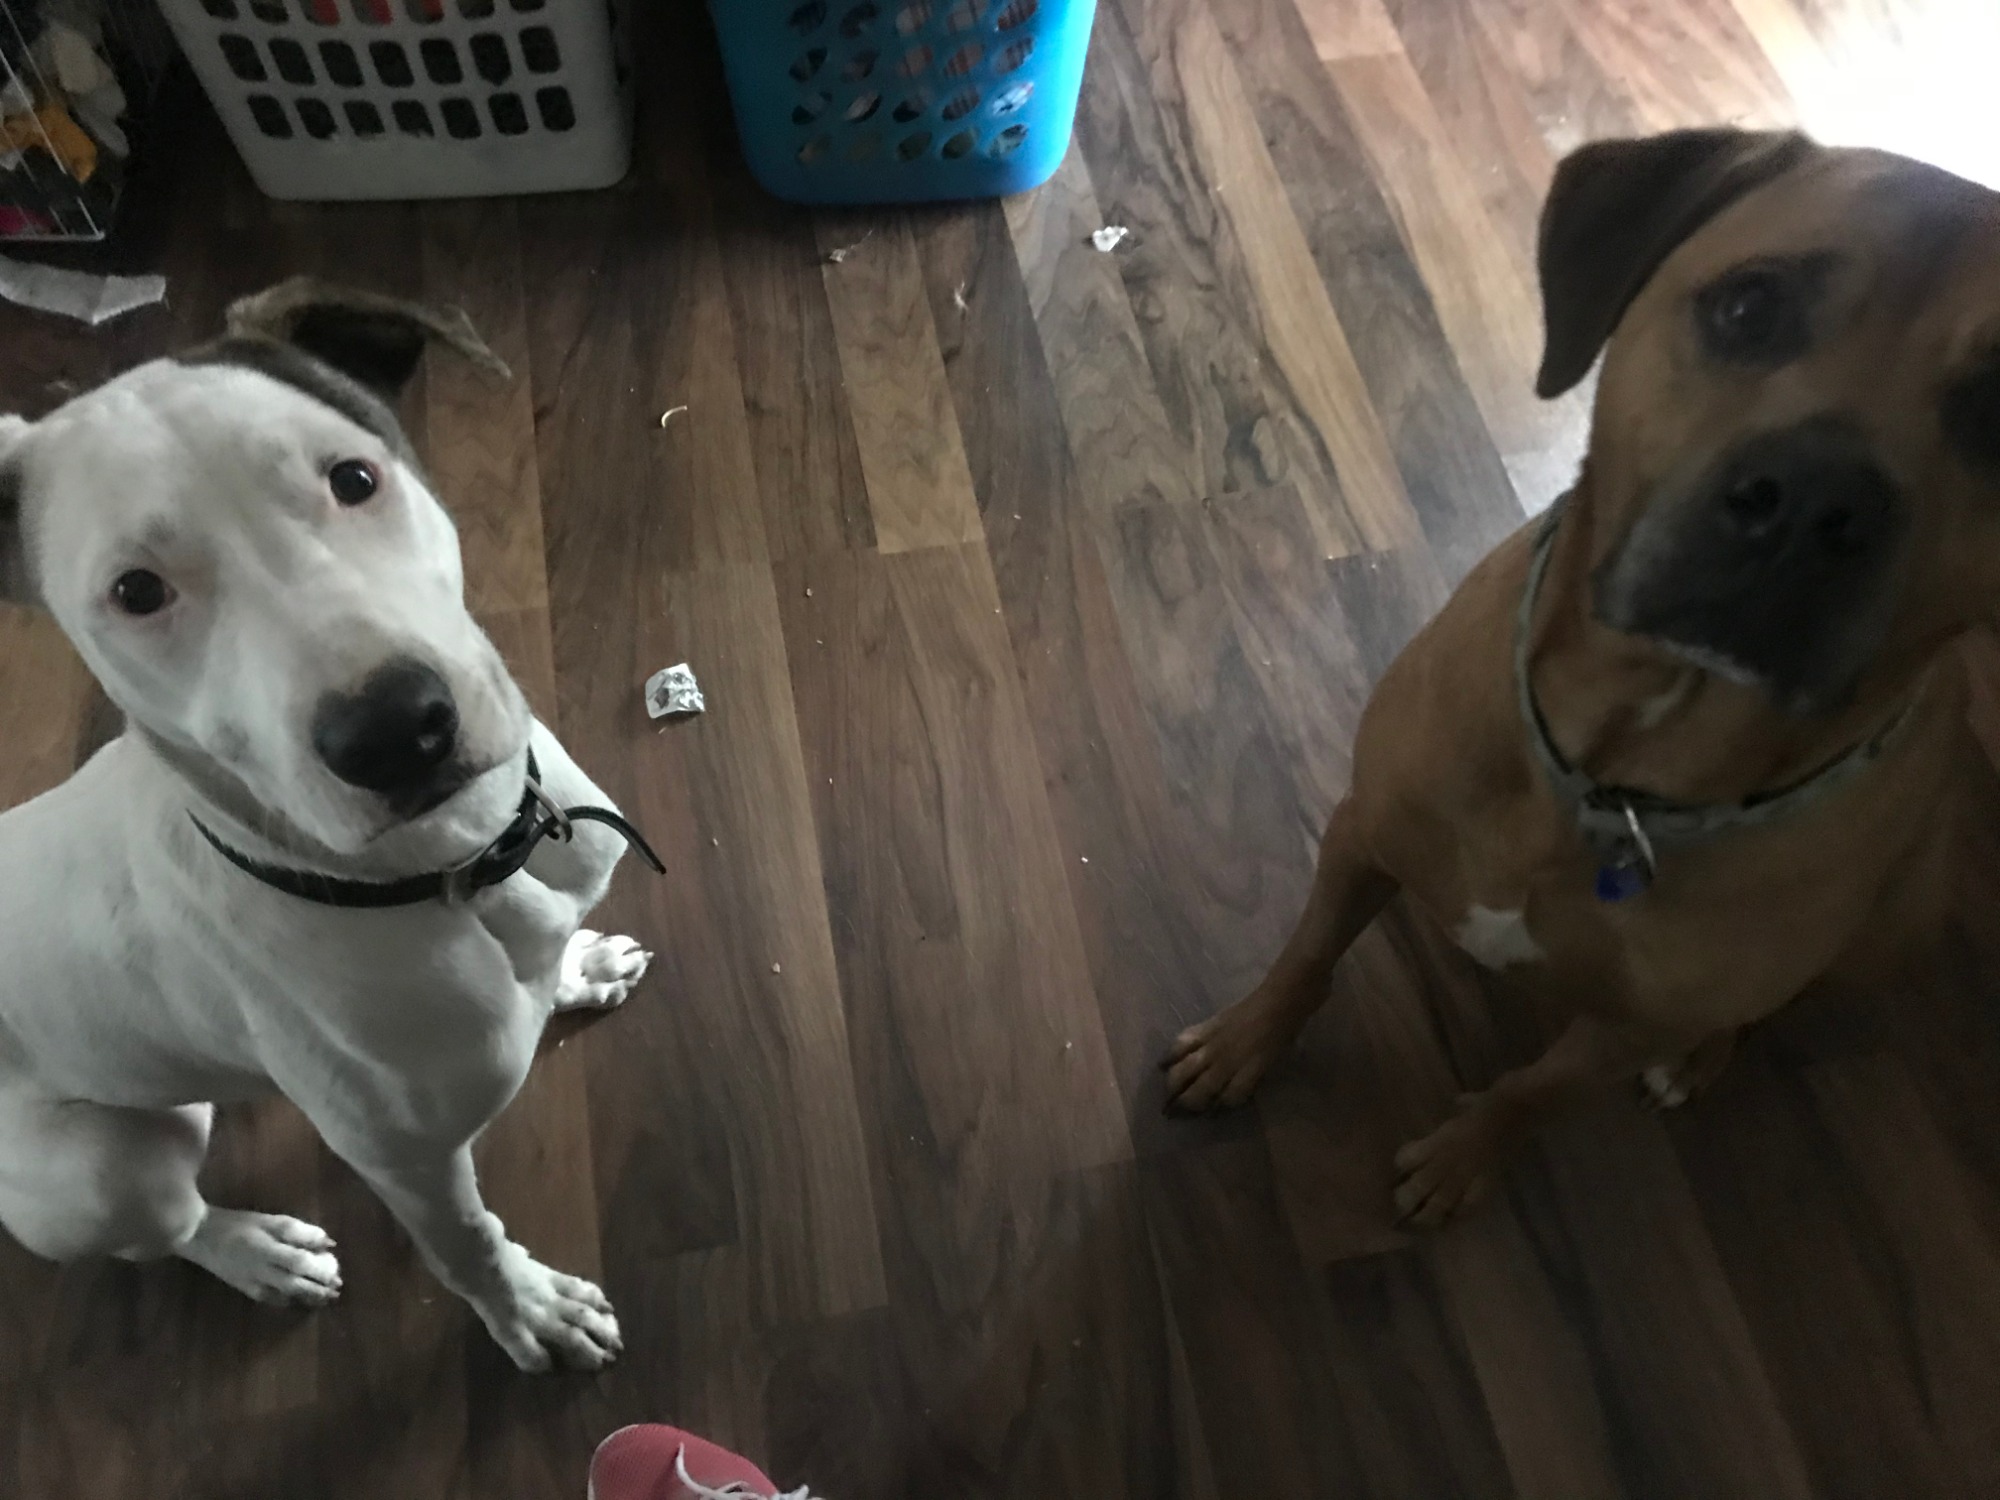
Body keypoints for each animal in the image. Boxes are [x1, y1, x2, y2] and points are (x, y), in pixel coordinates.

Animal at [0, 280, 659, 1371]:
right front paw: (531, 1313)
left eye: (352, 477)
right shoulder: (410, 1162)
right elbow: (471, 1246)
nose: (394, 731)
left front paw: (576, 967)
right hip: (104, 1170)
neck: (459, 870)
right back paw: (256, 1252)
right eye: (136, 591)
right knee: (169, 1226)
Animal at [1165, 129, 2000, 1224]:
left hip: (1885, 930)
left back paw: (1700, 1061)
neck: (1614, 777)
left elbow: (1532, 1092)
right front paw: (1240, 1043)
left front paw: (1461, 1158)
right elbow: (1305, 957)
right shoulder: (1360, 831)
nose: (1814, 499)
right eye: (1749, 305)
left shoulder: (1626, 1028)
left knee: (1762, 1008)